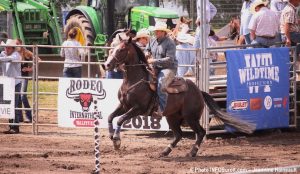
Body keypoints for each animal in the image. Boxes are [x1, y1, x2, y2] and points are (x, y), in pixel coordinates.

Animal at [104, 38, 254, 158]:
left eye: (121, 49)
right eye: (113, 48)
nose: (107, 65)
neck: (133, 81)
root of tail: (199, 91)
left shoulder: (138, 108)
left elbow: (121, 119)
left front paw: (117, 140)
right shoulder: (124, 106)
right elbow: (110, 116)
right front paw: (111, 135)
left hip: (190, 117)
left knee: (200, 132)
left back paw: (192, 152)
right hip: (172, 116)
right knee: (178, 135)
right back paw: (165, 152)